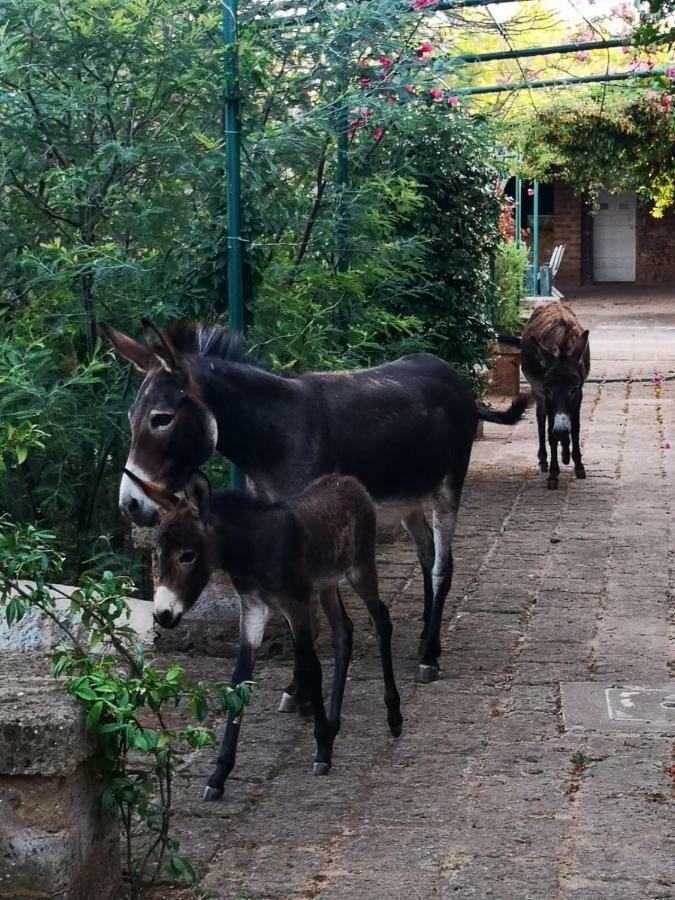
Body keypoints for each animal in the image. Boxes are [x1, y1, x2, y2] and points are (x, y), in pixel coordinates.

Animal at [126, 468, 402, 800]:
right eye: (158, 552)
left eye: (188, 556)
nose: (163, 615)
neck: (252, 550)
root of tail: (348, 480)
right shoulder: (253, 610)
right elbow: (239, 680)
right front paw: (219, 774)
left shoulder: (296, 605)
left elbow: (311, 669)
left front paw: (322, 747)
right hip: (327, 583)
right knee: (343, 632)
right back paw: (336, 723)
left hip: (360, 568)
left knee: (380, 620)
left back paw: (393, 716)